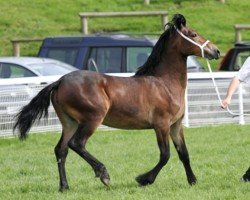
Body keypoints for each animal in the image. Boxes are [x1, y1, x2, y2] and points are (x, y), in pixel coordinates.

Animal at [14, 13, 220, 191]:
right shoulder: (161, 125)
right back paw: (103, 174)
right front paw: (144, 179)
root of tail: (60, 81)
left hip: (69, 123)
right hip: (91, 119)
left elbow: (184, 153)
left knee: (61, 150)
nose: (215, 51)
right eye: (193, 34)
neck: (164, 83)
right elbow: (165, 155)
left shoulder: (175, 125)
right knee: (77, 144)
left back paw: (64, 186)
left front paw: (192, 181)